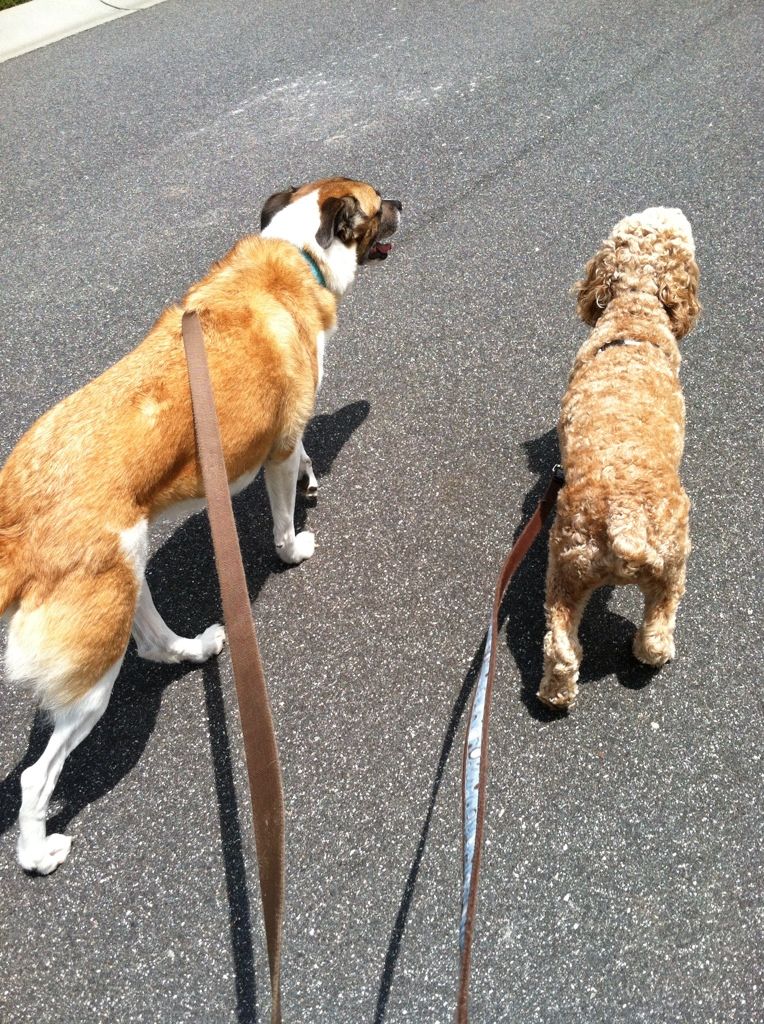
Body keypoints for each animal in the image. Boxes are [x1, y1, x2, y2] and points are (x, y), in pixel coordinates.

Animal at [0, 174, 401, 872]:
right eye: (379, 205)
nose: (404, 205)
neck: (294, 254)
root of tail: (15, 518)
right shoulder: (278, 443)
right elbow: (282, 512)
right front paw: (294, 544)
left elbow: (303, 459)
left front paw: (312, 476)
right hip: (93, 659)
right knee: (35, 776)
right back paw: (37, 852)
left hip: (126, 571)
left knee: (155, 644)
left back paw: (198, 648)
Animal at [536, 207, 696, 712]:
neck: (635, 309)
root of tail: (625, 521)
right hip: (661, 567)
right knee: (657, 622)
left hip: (577, 569)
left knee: (564, 646)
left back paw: (557, 694)